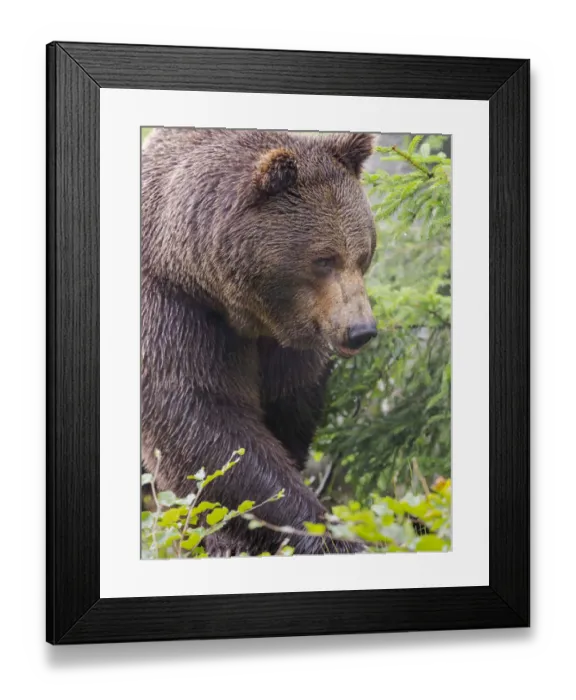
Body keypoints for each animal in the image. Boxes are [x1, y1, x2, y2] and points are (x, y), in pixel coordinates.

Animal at [141, 127, 377, 556]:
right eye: (324, 259)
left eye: (363, 254)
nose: (360, 330)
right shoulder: (175, 309)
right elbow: (203, 420)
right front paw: (323, 533)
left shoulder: (289, 342)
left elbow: (289, 405)